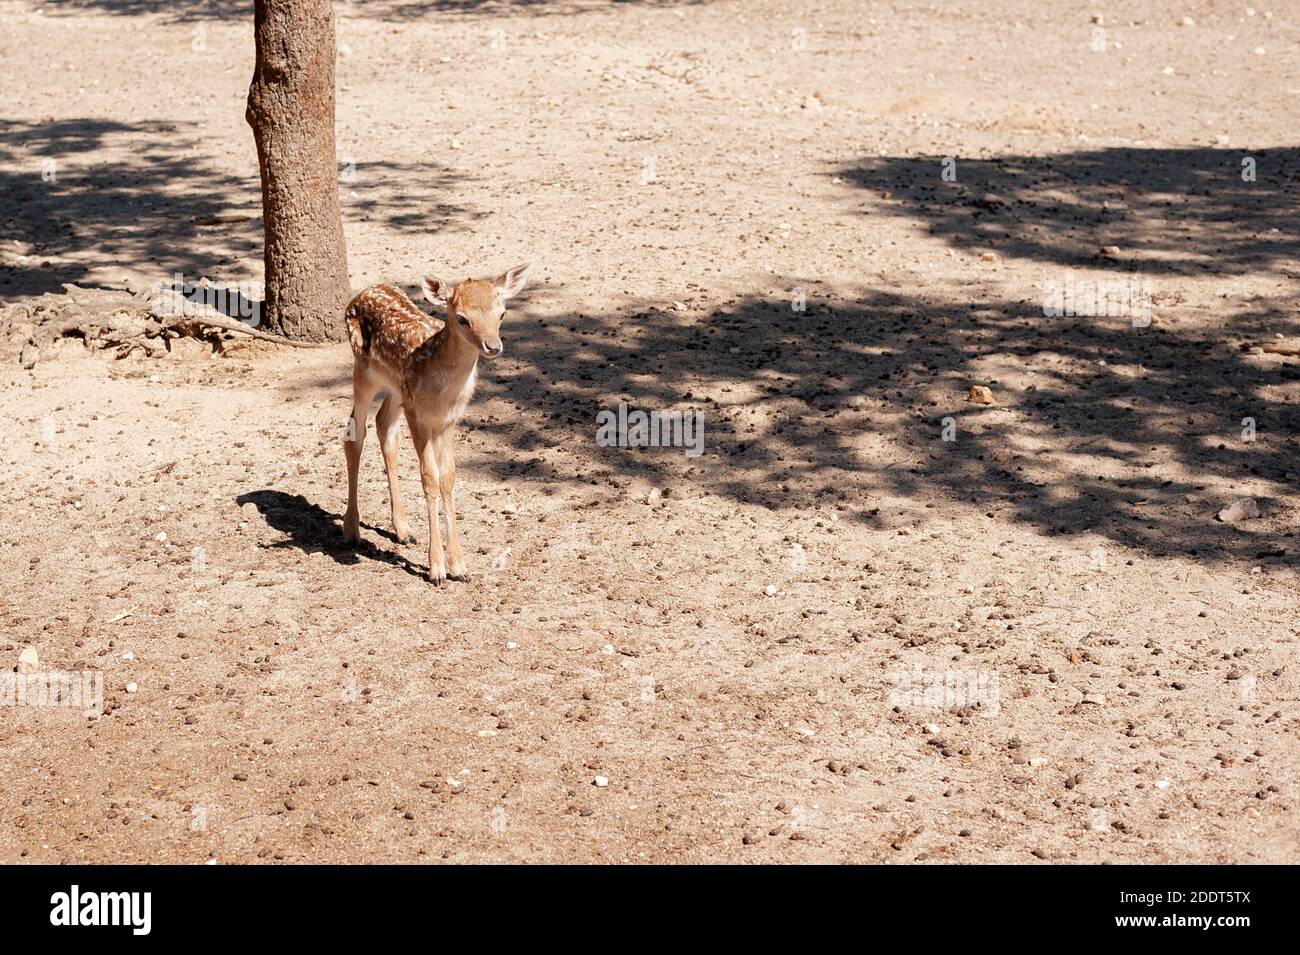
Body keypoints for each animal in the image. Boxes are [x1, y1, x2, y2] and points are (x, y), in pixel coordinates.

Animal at [343, 265, 535, 587]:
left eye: (502, 313)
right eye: (462, 318)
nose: (493, 346)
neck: (444, 389)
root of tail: (364, 291)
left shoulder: (448, 420)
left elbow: (448, 477)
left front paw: (459, 566)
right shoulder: (418, 415)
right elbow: (429, 478)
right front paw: (436, 569)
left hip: (397, 390)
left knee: (383, 425)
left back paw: (403, 530)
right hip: (364, 371)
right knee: (354, 434)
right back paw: (351, 529)